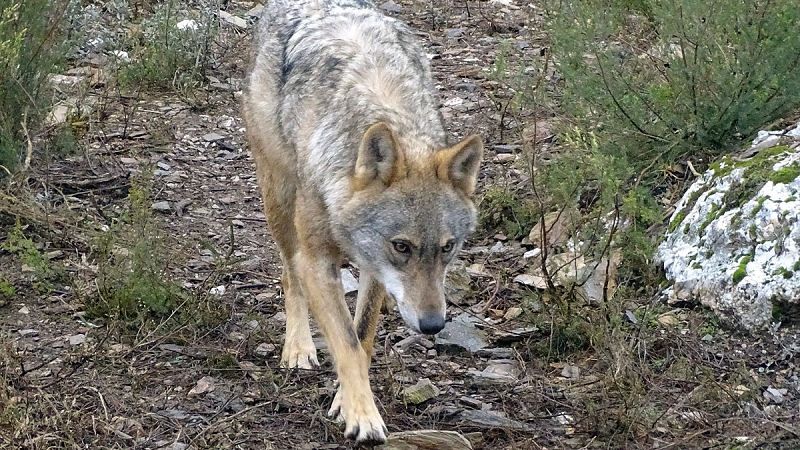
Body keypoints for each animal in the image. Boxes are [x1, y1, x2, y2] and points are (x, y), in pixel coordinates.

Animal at [242, 0, 483, 444]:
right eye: (402, 246)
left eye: (448, 247)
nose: (433, 325)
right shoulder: (318, 262)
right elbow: (347, 343)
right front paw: (363, 416)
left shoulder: (375, 269)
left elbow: (363, 335)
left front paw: (345, 401)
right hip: (278, 198)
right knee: (288, 274)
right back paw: (298, 348)